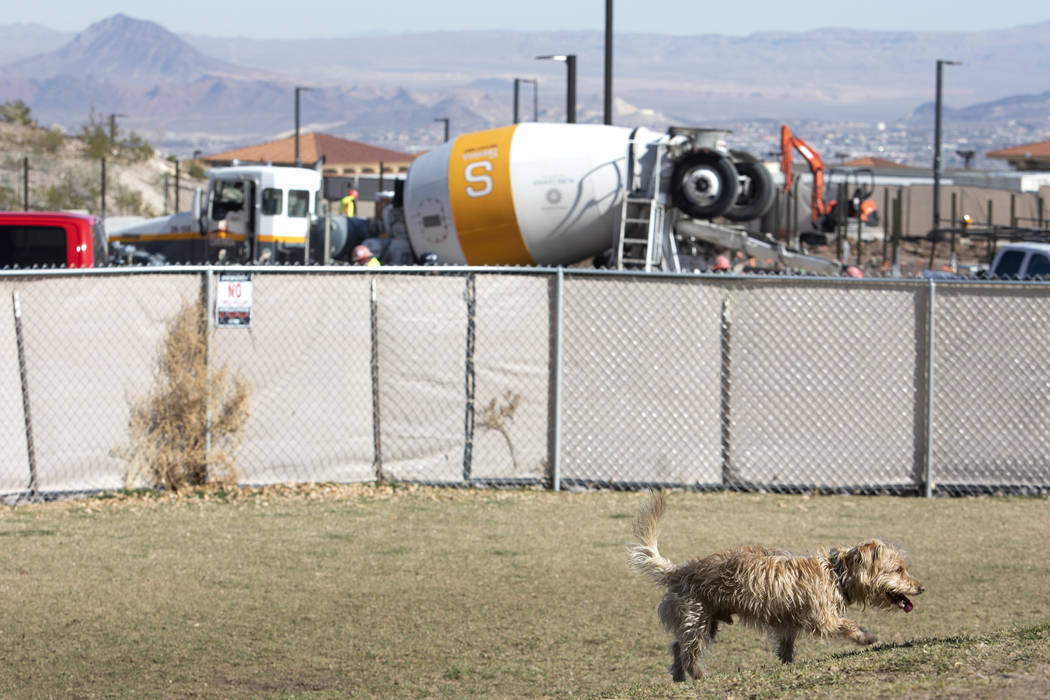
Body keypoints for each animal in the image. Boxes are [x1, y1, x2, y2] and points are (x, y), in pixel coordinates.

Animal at [625, 491, 923, 680]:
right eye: (899, 570)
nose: (921, 588)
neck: (836, 574)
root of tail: (680, 570)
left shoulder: (788, 623)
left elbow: (787, 646)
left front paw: (788, 664)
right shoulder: (823, 618)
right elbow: (846, 624)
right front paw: (867, 637)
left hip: (704, 622)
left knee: (678, 646)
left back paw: (679, 675)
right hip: (696, 618)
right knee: (689, 650)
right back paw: (698, 674)